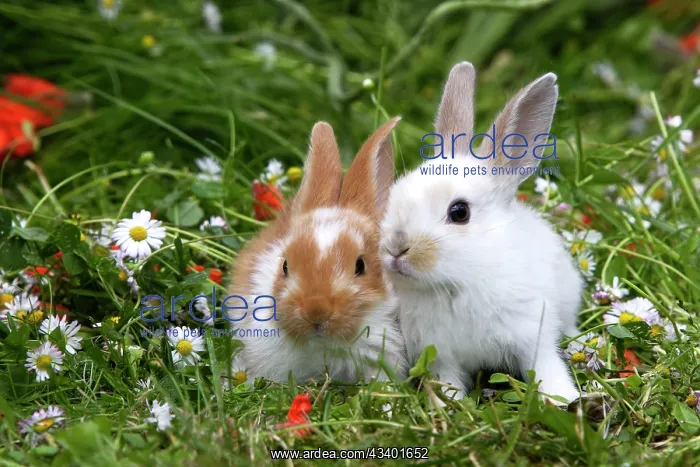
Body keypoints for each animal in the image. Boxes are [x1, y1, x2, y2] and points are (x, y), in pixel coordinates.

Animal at [379, 62, 584, 404]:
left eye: (459, 212)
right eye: (394, 195)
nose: (396, 247)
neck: (458, 283)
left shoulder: (532, 334)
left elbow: (546, 367)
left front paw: (566, 400)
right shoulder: (440, 356)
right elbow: (447, 382)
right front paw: (447, 407)